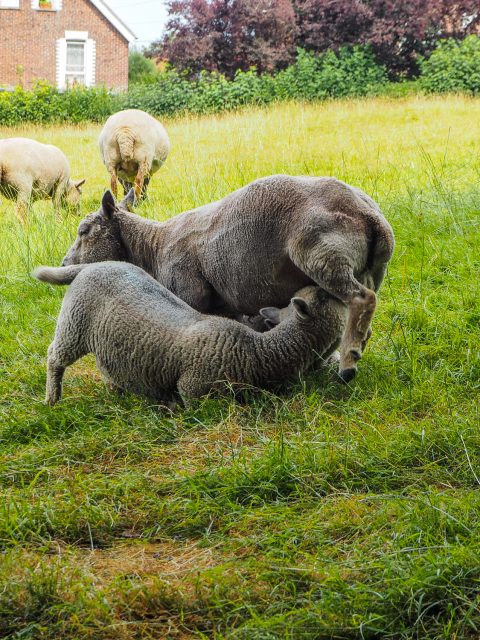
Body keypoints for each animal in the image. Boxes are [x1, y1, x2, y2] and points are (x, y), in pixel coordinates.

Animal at [34, 260, 348, 404]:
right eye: (323, 296)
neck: (259, 353)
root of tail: (93, 265)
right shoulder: (193, 390)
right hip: (73, 324)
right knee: (54, 358)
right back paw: (52, 398)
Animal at [60, 175, 396, 382]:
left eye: (84, 231)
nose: (65, 263)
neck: (151, 248)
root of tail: (370, 216)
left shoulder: (190, 294)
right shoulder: (227, 307)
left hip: (323, 255)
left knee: (361, 298)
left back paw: (348, 364)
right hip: (370, 271)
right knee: (362, 314)